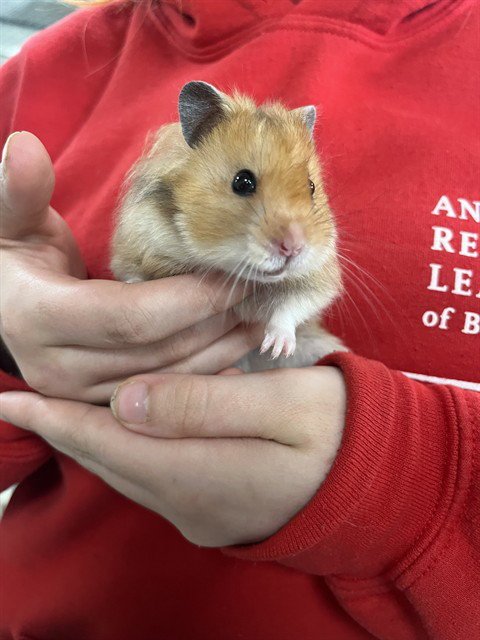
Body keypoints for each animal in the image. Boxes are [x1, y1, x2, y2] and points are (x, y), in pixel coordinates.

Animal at [111, 81, 346, 370]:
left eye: (311, 187)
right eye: (242, 182)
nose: (294, 248)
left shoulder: (319, 276)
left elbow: (293, 306)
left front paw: (276, 347)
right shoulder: (138, 240)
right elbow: (133, 271)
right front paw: (133, 284)